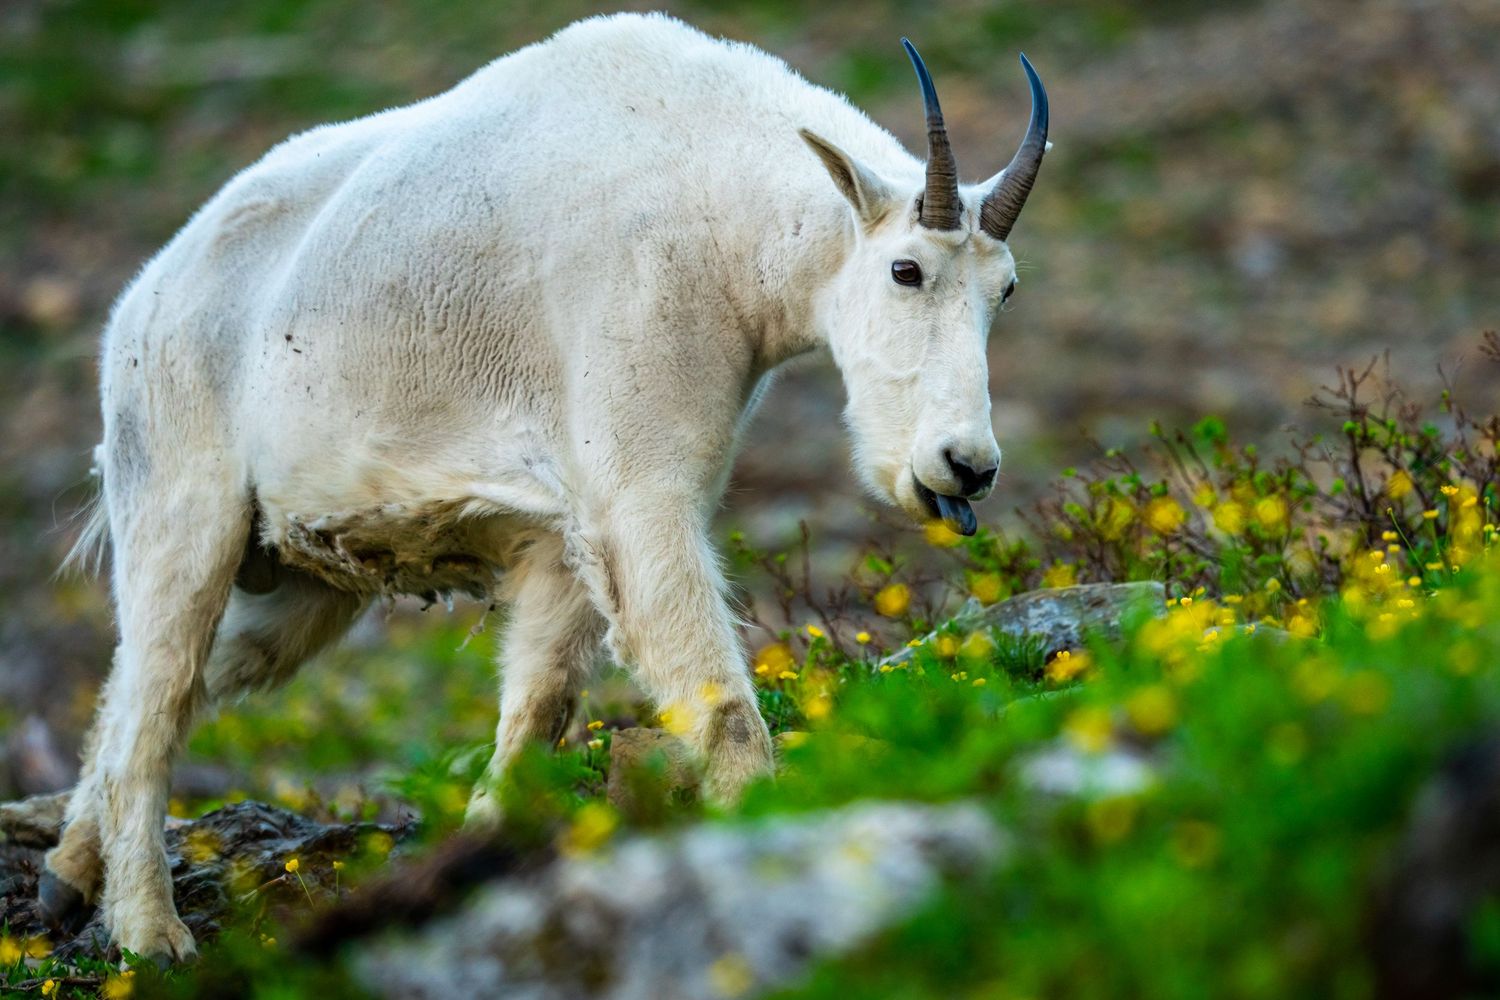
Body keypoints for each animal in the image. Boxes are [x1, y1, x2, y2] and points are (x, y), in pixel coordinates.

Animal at [39, 13, 1049, 961]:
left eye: (1005, 291)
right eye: (905, 268)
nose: (966, 466)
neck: (724, 213)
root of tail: (143, 300)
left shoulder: (563, 535)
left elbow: (538, 709)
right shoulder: (638, 495)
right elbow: (718, 706)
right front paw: (767, 833)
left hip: (299, 577)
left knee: (173, 681)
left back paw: (66, 874)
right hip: (181, 503)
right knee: (157, 700)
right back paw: (149, 933)